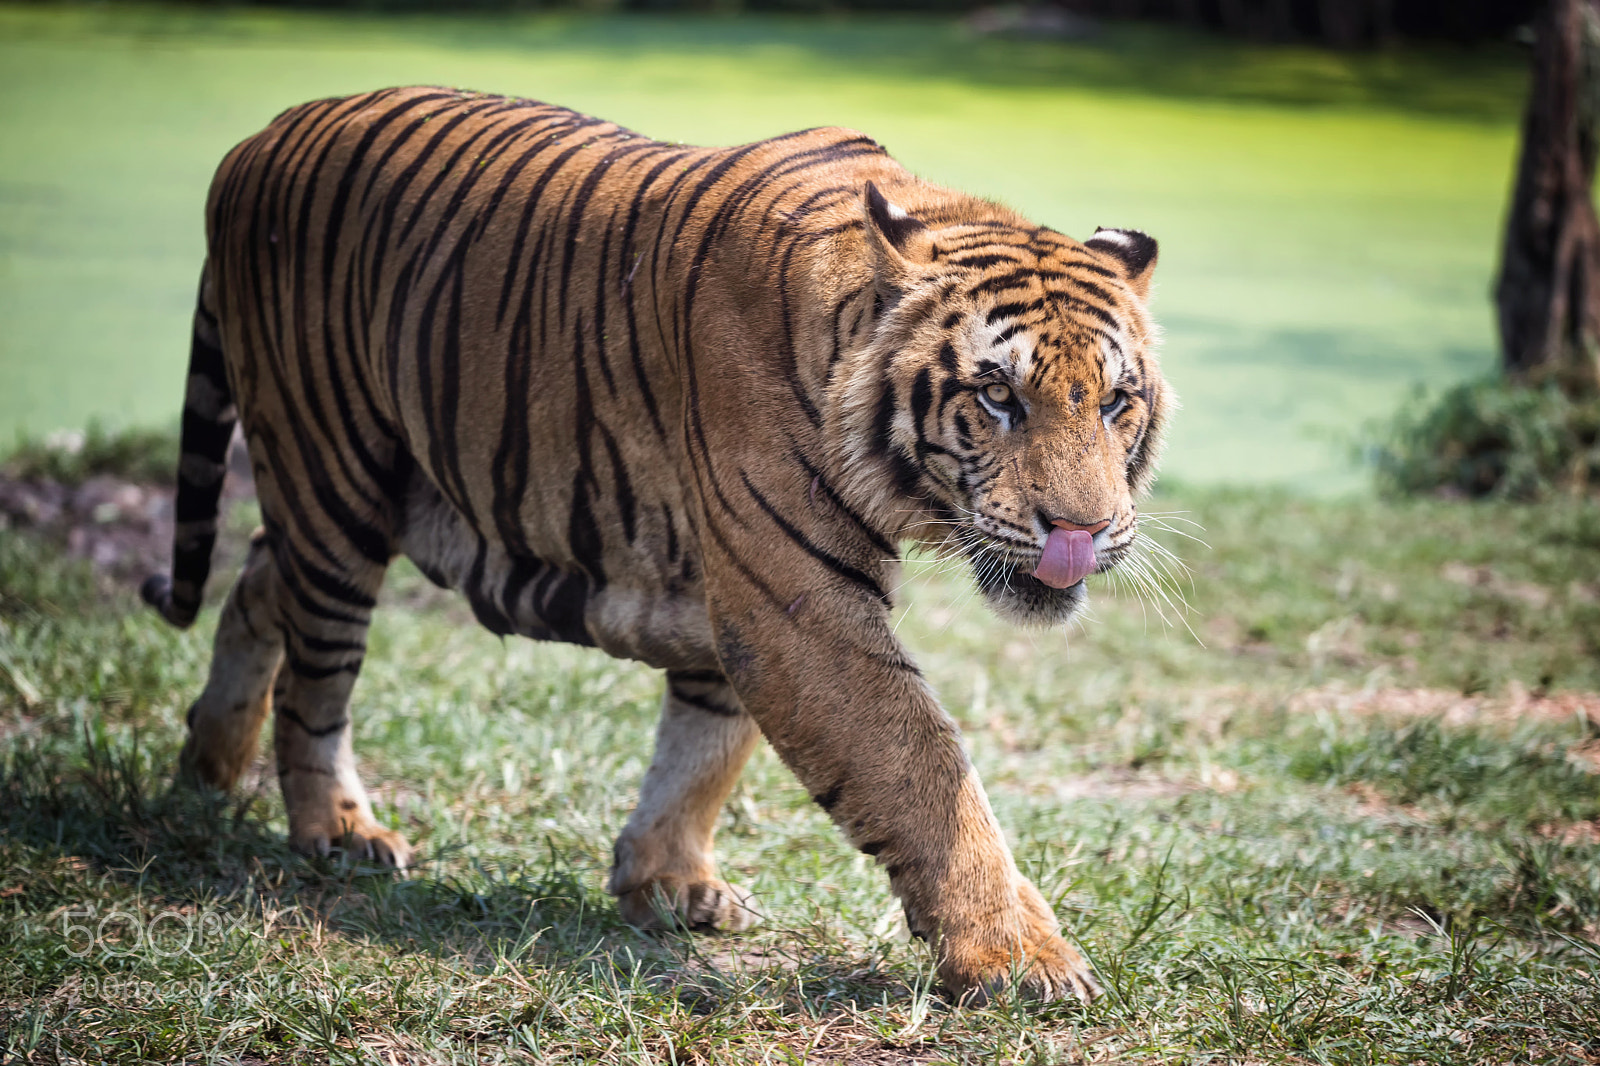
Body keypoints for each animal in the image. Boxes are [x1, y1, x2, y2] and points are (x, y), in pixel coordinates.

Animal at [140, 86, 1171, 1004]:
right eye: (999, 396)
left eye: (1116, 401)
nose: (1080, 532)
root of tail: (256, 140)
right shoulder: (794, 601)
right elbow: (924, 771)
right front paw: (1022, 959)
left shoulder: (734, 587)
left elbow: (704, 742)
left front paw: (666, 882)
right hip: (333, 473)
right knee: (315, 676)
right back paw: (338, 830)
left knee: (259, 577)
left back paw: (209, 767)